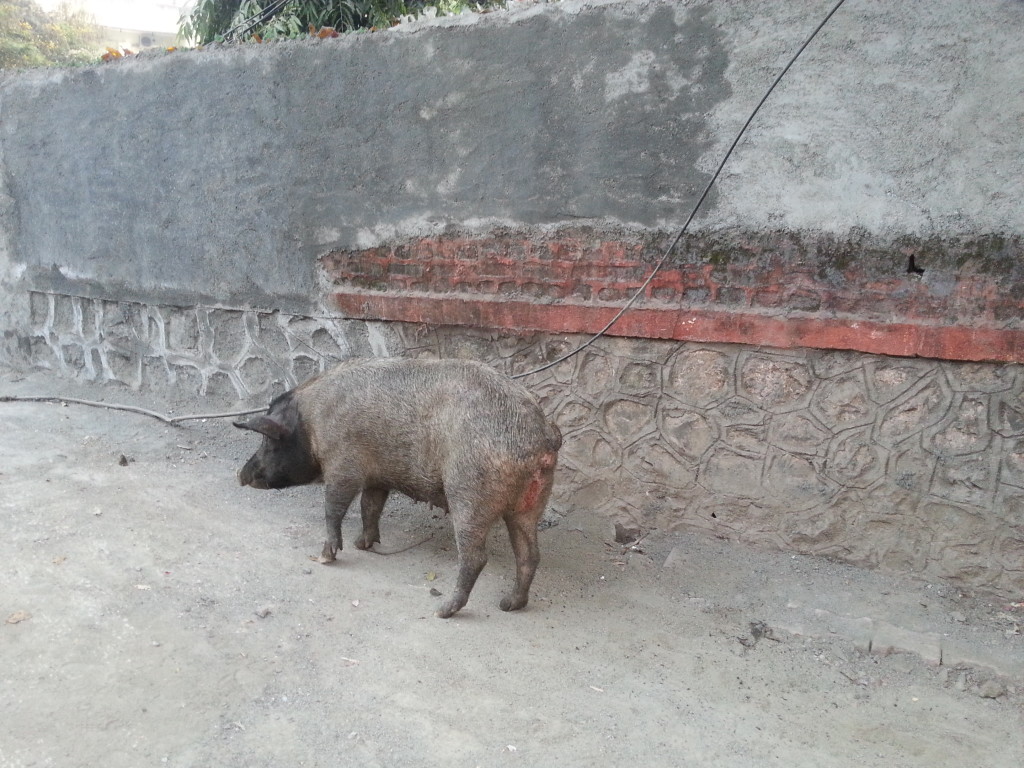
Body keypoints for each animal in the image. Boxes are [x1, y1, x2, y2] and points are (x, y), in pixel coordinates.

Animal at [234, 360, 561, 618]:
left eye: (268, 441)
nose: (241, 475)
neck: (311, 422)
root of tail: (542, 437)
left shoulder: (343, 465)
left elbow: (334, 507)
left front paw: (326, 556)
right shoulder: (378, 477)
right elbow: (370, 506)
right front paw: (361, 545)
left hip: (469, 493)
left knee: (475, 557)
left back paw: (442, 611)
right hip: (530, 505)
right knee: (529, 554)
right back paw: (509, 604)